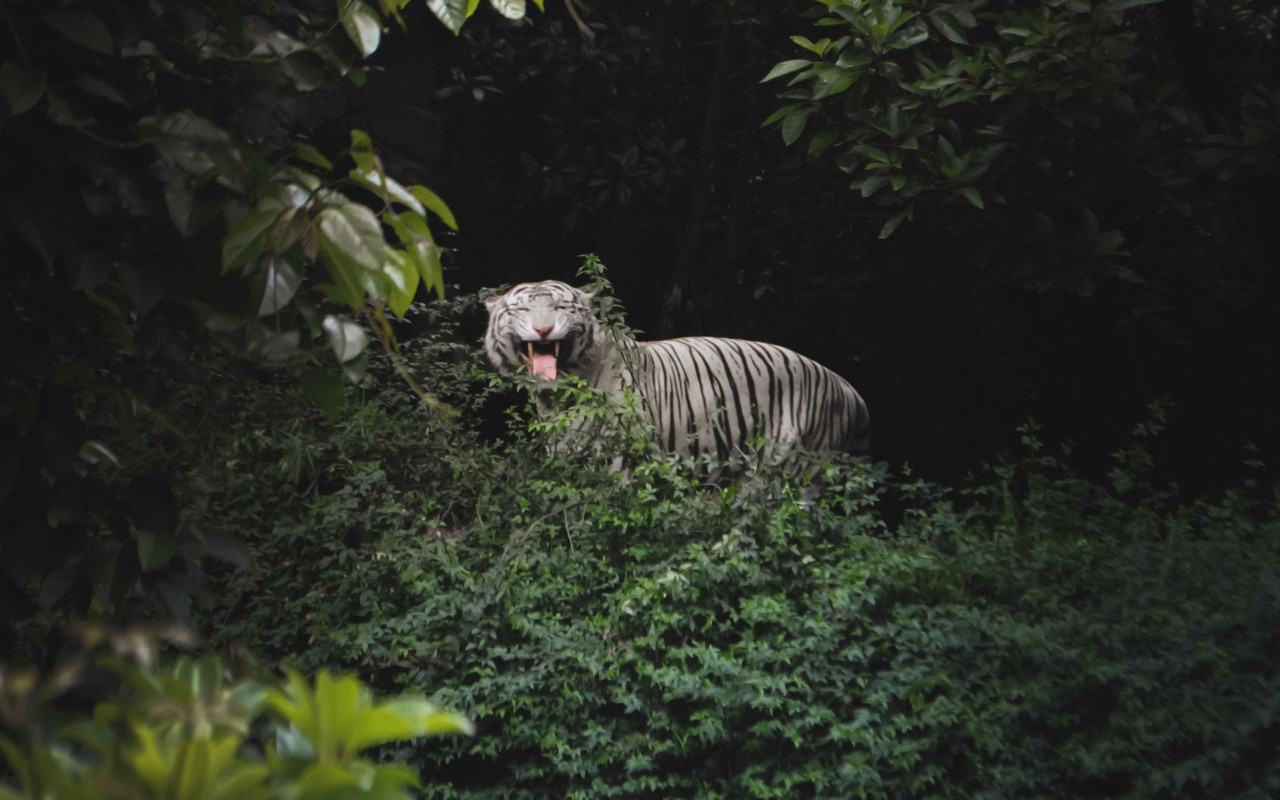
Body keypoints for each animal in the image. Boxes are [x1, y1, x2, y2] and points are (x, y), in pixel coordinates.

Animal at [483, 280, 871, 465]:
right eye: (521, 309)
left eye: (561, 307)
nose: (544, 330)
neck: (557, 396)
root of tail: (851, 391)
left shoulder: (620, 455)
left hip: (795, 462)